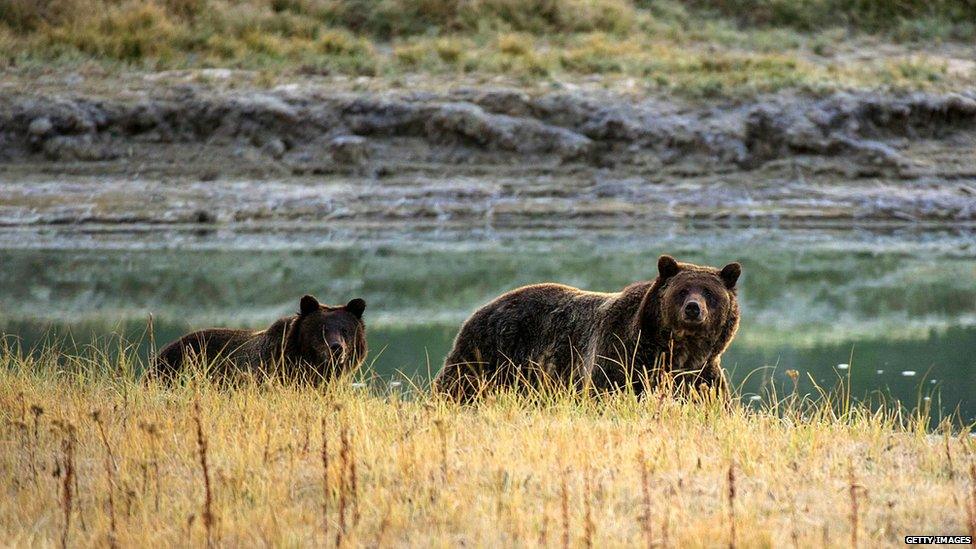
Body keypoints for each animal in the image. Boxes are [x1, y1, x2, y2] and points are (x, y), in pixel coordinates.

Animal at [432, 255, 740, 400]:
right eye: (682, 290)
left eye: (709, 292)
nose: (693, 308)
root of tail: (481, 308)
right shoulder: (621, 356)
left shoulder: (700, 375)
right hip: (489, 353)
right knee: (458, 386)